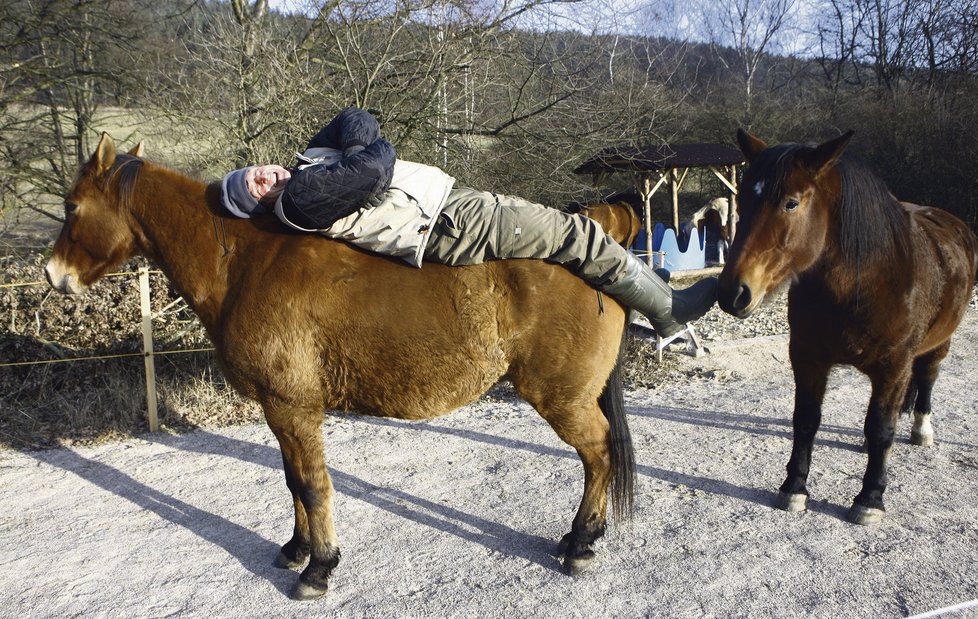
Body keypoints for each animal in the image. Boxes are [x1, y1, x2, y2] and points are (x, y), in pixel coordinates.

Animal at [45, 134, 636, 600]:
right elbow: (292, 480)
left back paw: (581, 542)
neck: (244, 264)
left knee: (598, 453)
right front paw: (295, 548)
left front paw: (319, 568)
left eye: (72, 208)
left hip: (562, 399)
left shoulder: (293, 407)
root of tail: (603, 268)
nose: (54, 276)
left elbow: (312, 485)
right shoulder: (281, 409)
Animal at [716, 128, 976, 524]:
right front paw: (794, 488)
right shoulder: (808, 358)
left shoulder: (893, 367)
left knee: (927, 377)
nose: (733, 293)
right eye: (742, 200)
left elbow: (882, 428)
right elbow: (806, 420)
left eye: (791, 203)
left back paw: (921, 429)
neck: (864, 283)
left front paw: (870, 498)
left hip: (937, 344)